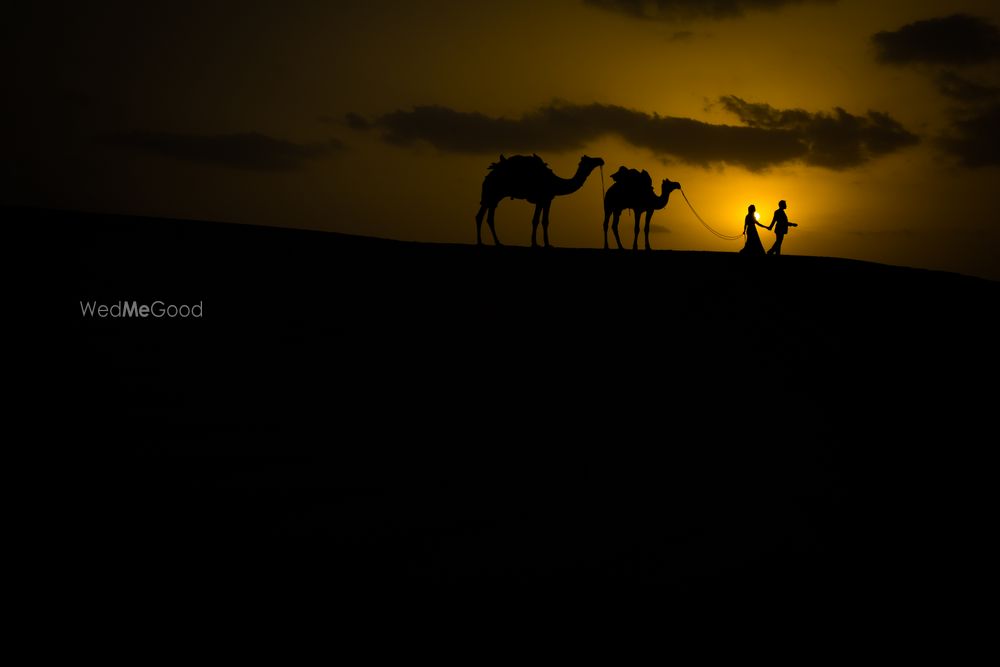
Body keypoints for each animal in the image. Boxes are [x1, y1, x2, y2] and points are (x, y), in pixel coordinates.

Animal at [474, 154, 604, 248]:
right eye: (590, 160)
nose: (601, 160)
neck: (556, 183)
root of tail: (488, 177)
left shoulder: (544, 200)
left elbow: (539, 220)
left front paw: (540, 243)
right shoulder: (545, 198)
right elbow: (540, 221)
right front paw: (542, 244)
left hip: (493, 197)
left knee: (485, 216)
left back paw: (493, 242)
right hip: (492, 194)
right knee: (483, 216)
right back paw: (484, 242)